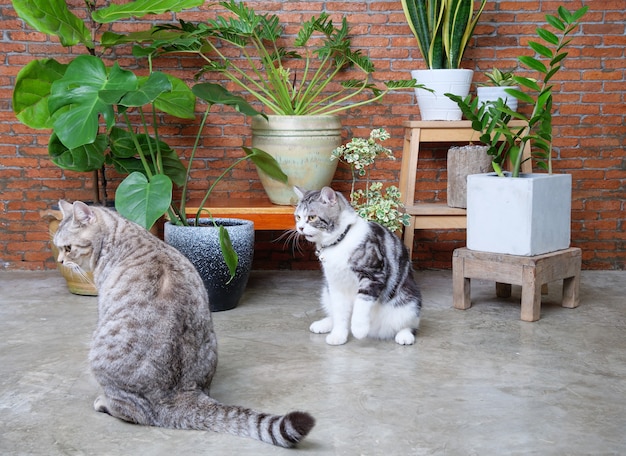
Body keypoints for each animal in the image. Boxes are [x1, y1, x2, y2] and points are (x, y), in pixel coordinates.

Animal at [52, 201, 312, 448]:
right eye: (58, 247)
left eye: (68, 248)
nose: (60, 260)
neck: (120, 235)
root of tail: (179, 395)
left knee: (132, 412)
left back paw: (104, 403)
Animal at [292, 186, 420, 346]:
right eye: (298, 217)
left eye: (312, 217)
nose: (300, 227)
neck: (339, 242)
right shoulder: (335, 284)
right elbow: (340, 313)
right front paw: (338, 335)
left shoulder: (374, 274)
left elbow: (362, 301)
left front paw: (359, 328)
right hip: (326, 293)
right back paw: (324, 324)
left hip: (409, 302)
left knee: (410, 323)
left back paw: (404, 335)